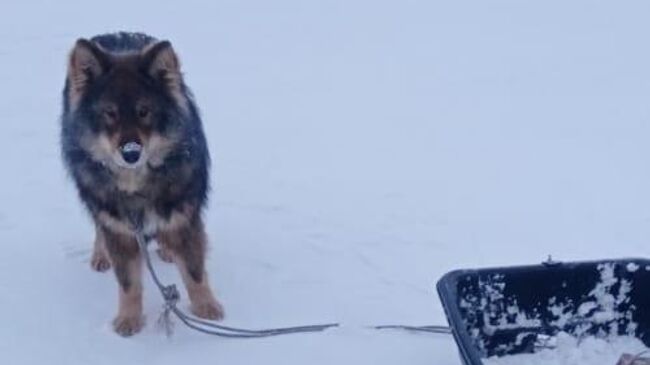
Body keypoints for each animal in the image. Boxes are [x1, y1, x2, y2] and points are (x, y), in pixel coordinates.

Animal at [60, 32, 223, 336]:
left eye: (144, 111)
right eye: (109, 113)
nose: (131, 153)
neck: (137, 184)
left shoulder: (184, 218)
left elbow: (194, 272)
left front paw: (206, 308)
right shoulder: (119, 228)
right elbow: (128, 283)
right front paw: (128, 320)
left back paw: (168, 250)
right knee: (99, 227)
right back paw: (100, 255)